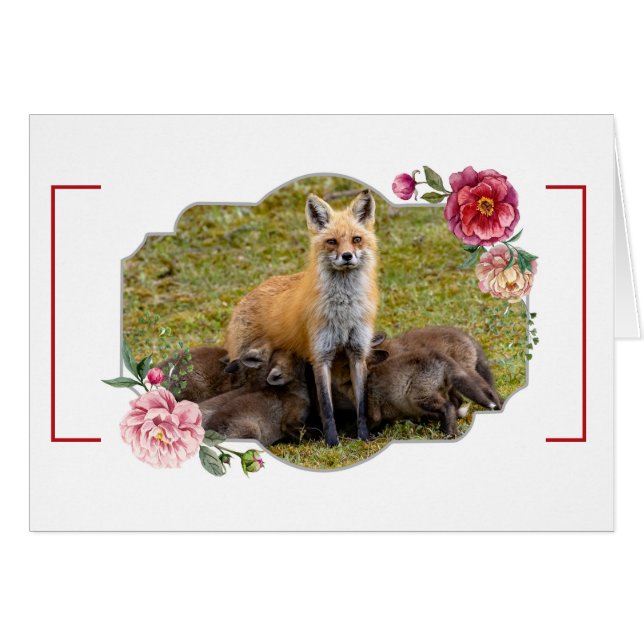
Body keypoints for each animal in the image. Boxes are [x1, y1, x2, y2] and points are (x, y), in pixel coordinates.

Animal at [226, 189, 379, 446]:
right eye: (332, 241)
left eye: (356, 239)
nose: (347, 256)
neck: (343, 313)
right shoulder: (320, 355)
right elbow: (327, 407)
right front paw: (332, 443)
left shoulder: (358, 352)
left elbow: (362, 403)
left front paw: (364, 437)